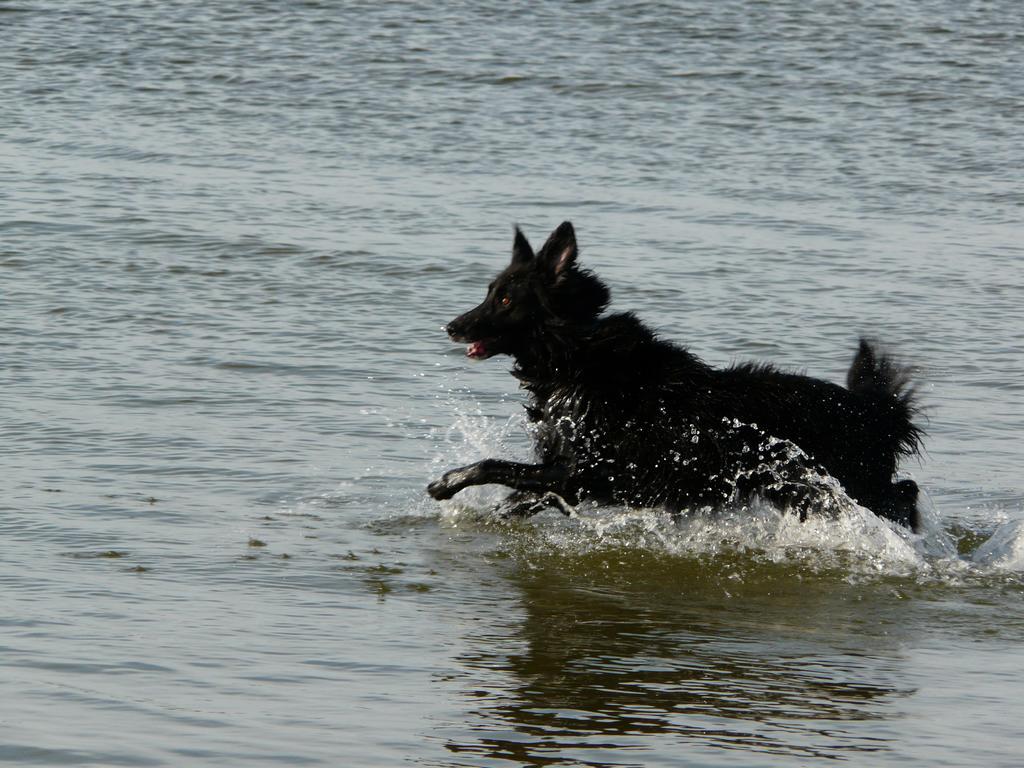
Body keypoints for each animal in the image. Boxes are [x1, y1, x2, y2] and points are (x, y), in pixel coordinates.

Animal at [428, 222, 925, 532]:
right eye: (490, 292)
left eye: (505, 300)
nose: (452, 326)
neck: (575, 356)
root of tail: (875, 412)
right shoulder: (569, 477)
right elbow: (518, 495)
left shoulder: (581, 472)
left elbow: (494, 465)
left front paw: (447, 483)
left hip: (848, 486)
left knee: (906, 494)